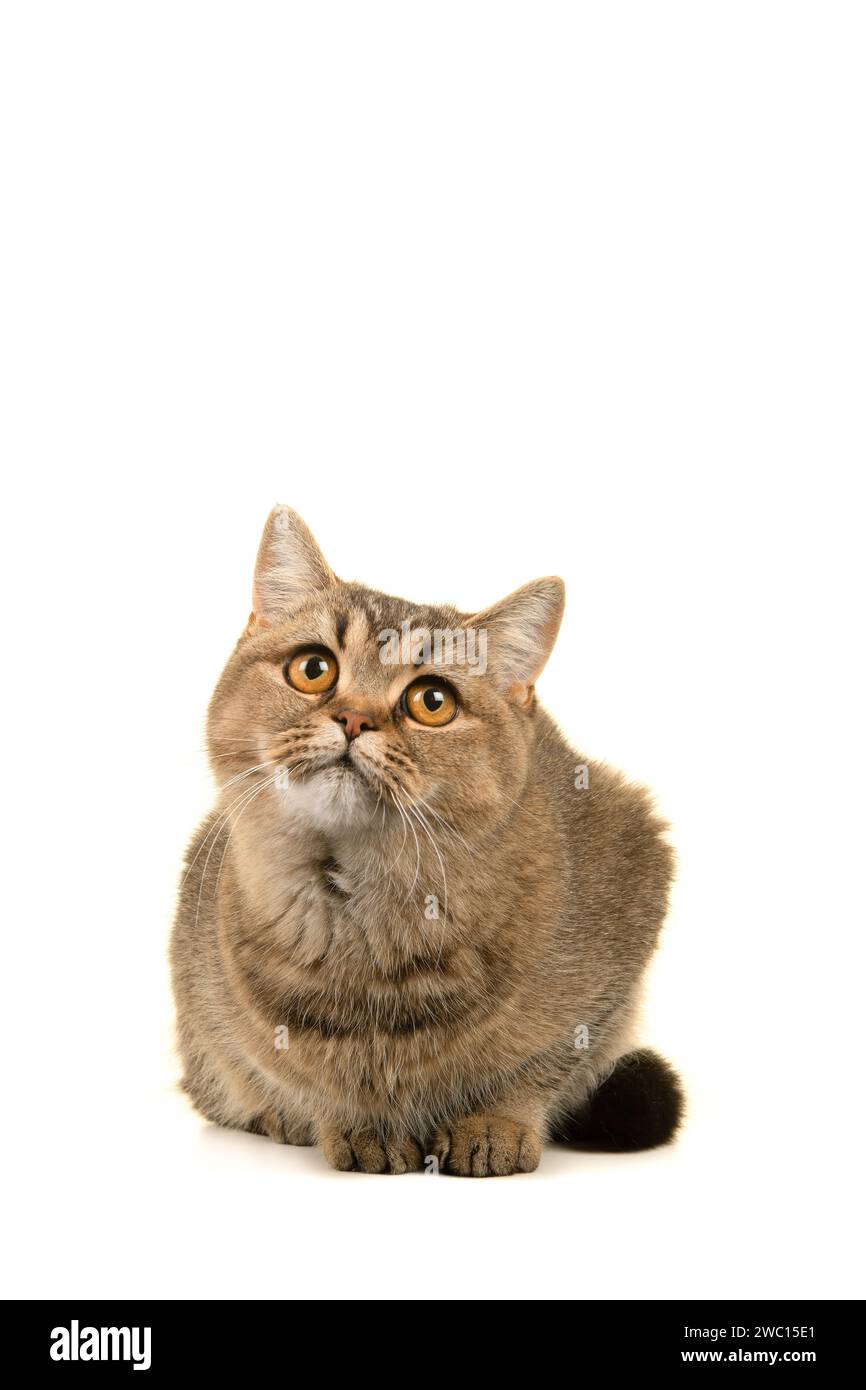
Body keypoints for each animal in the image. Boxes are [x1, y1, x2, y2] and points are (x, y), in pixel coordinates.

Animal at [170, 505, 683, 1178]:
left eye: (431, 702)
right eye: (313, 668)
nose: (354, 718)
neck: (360, 909)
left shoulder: (632, 897)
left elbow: (541, 1064)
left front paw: (494, 1122)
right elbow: (303, 1073)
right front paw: (359, 1123)